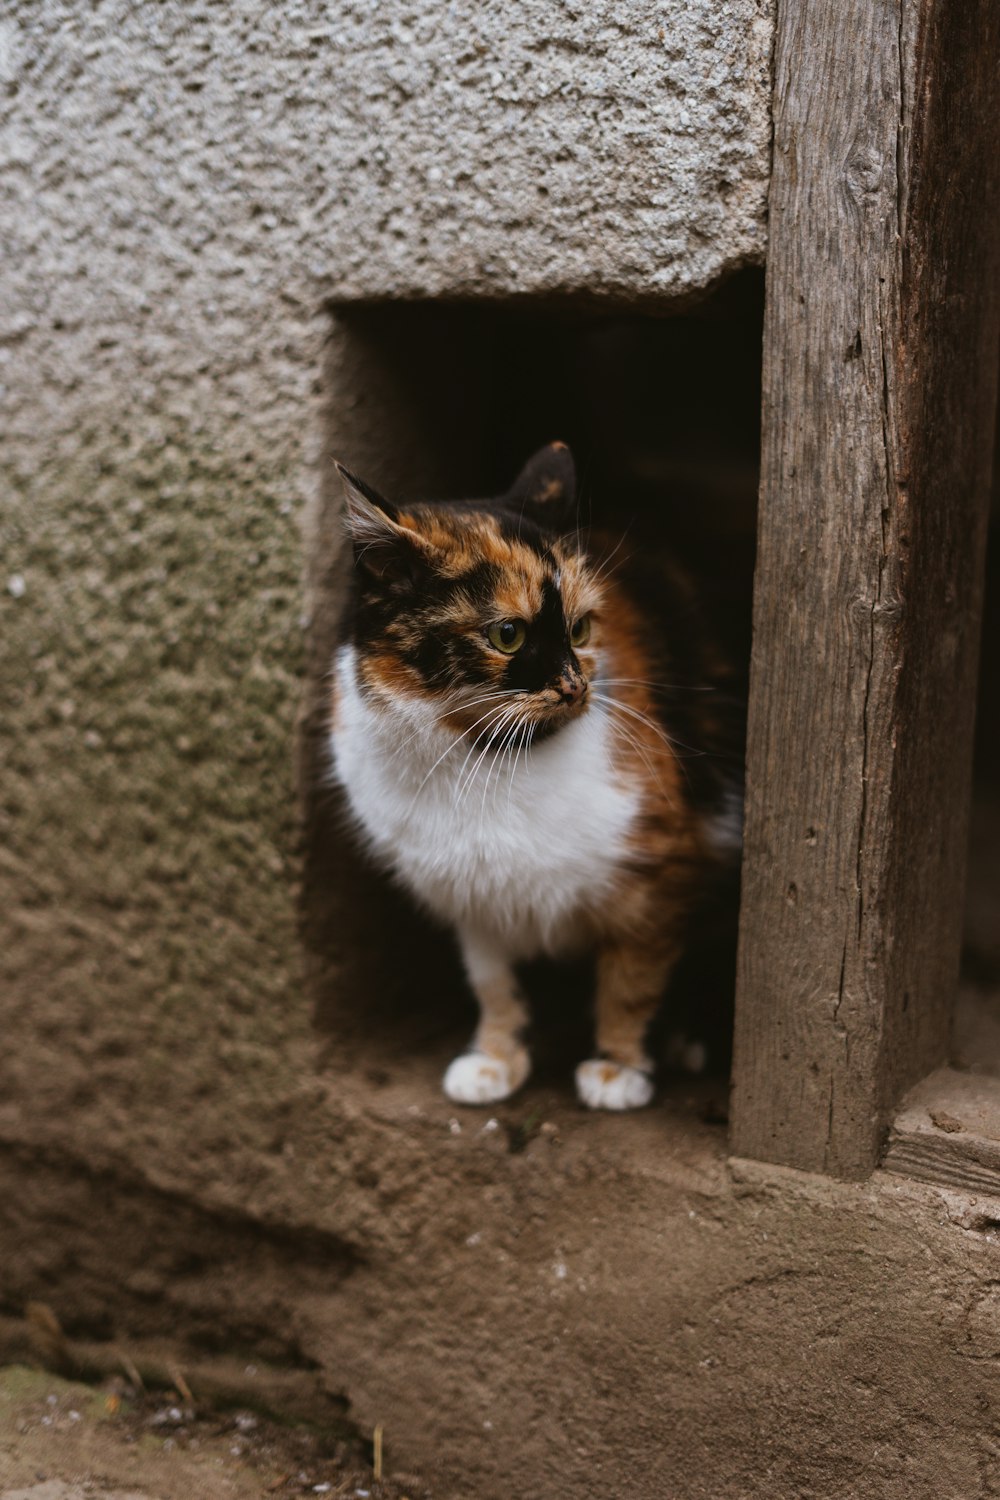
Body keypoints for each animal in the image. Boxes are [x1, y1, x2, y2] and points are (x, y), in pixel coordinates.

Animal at [328, 438, 743, 1110]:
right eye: (507, 634)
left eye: (580, 627)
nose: (574, 686)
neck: (484, 762)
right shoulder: (474, 899)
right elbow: (495, 984)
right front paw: (495, 1060)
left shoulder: (661, 873)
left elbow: (631, 979)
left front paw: (617, 1068)